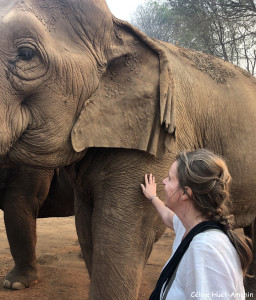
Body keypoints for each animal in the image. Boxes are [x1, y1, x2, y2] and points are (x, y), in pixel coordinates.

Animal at [0, 0, 255, 298]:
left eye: (26, 54)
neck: (118, 33)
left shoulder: (157, 140)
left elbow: (118, 236)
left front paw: (15, 284)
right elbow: (87, 227)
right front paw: (16, 283)